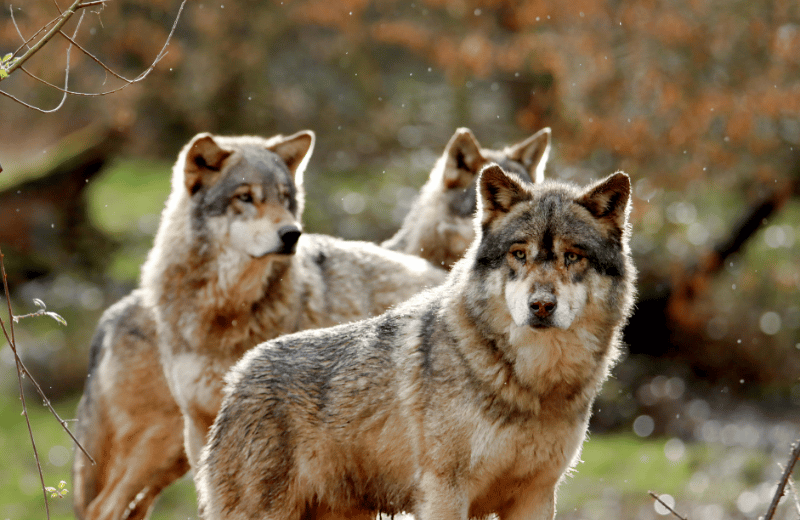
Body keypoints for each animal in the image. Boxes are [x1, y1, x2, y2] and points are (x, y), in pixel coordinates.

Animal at [72, 130, 446, 520]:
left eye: (285, 198)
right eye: (245, 197)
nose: (292, 234)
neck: (224, 316)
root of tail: (111, 315)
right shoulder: (202, 427)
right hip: (160, 448)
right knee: (103, 507)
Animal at [195, 164, 636, 520]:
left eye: (572, 257)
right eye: (519, 254)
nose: (541, 305)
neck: (532, 384)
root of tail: (239, 374)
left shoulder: (536, 495)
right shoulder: (444, 491)